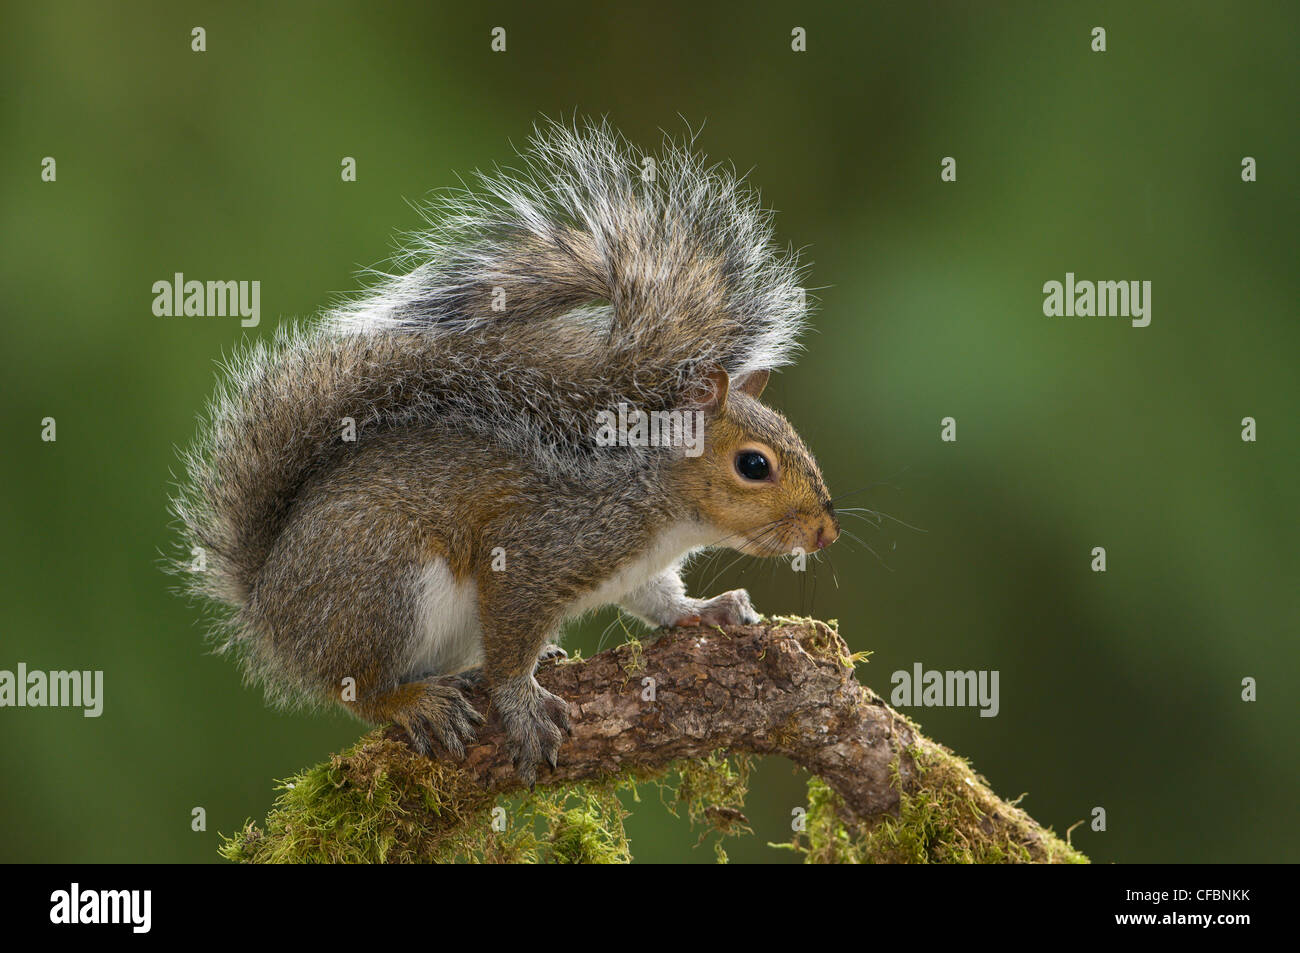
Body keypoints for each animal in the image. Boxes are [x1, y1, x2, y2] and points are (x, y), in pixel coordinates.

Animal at [172, 120, 839, 783]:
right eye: (754, 465)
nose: (825, 532)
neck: (660, 512)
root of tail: (266, 606)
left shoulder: (635, 569)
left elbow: (659, 601)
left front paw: (708, 609)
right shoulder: (541, 549)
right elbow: (512, 638)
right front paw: (522, 705)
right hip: (382, 585)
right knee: (356, 688)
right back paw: (413, 702)